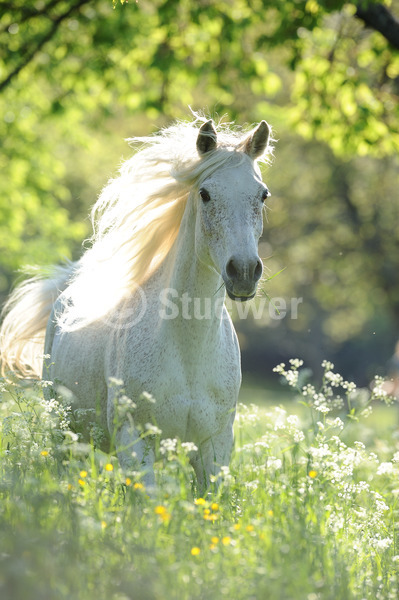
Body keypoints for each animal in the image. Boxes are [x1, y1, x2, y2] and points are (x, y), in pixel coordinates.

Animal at [0, 118, 272, 492]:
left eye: (262, 194)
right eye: (205, 194)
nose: (244, 271)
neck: (188, 349)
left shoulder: (214, 448)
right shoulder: (136, 442)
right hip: (65, 437)